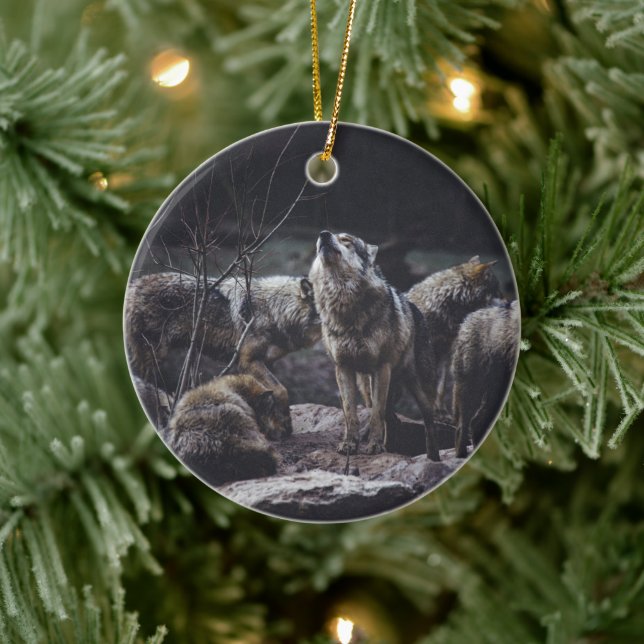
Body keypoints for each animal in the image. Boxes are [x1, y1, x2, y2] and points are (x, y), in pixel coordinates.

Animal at [125, 272, 321, 416]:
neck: (276, 310)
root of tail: (134, 285)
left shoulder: (266, 362)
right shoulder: (248, 360)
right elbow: (281, 389)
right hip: (153, 356)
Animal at [308, 230, 440, 460]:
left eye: (346, 240)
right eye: (323, 238)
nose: (324, 234)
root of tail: (415, 308)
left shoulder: (381, 368)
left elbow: (376, 415)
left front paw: (374, 446)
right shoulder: (343, 368)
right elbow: (350, 413)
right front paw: (350, 444)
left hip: (418, 389)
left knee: (427, 421)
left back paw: (433, 458)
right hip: (368, 386)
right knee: (392, 418)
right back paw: (387, 446)